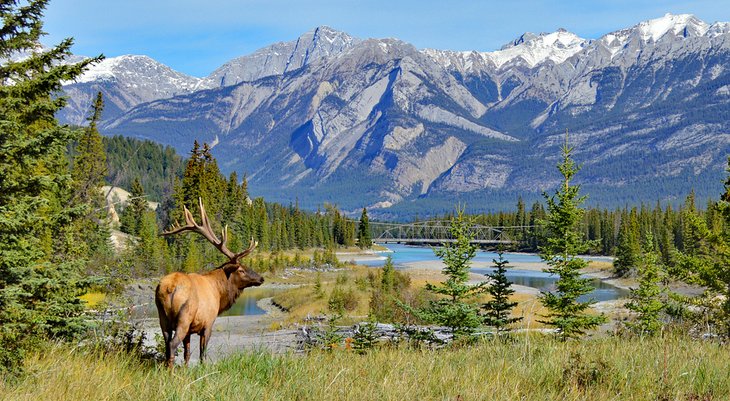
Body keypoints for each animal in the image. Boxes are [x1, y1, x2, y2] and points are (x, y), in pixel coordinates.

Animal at [155, 197, 264, 366]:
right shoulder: (208, 323)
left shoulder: (190, 330)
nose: (261, 278)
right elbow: (202, 354)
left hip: (162, 317)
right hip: (184, 317)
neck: (219, 292)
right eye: (241, 270)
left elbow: (187, 354)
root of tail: (170, 287)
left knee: (167, 345)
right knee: (172, 345)